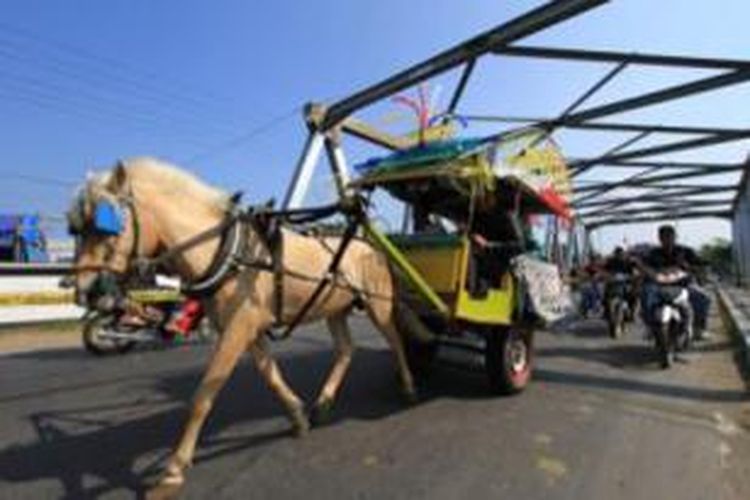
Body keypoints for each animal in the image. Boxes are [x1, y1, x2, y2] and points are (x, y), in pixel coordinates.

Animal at [69, 157, 418, 488]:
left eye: (107, 227)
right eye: (76, 230)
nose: (86, 292)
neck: (227, 253)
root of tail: (371, 244)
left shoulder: (237, 329)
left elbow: (204, 395)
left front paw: (175, 467)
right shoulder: (248, 329)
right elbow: (270, 374)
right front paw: (297, 415)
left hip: (378, 304)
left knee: (395, 340)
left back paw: (409, 387)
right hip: (333, 309)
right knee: (346, 349)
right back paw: (324, 401)